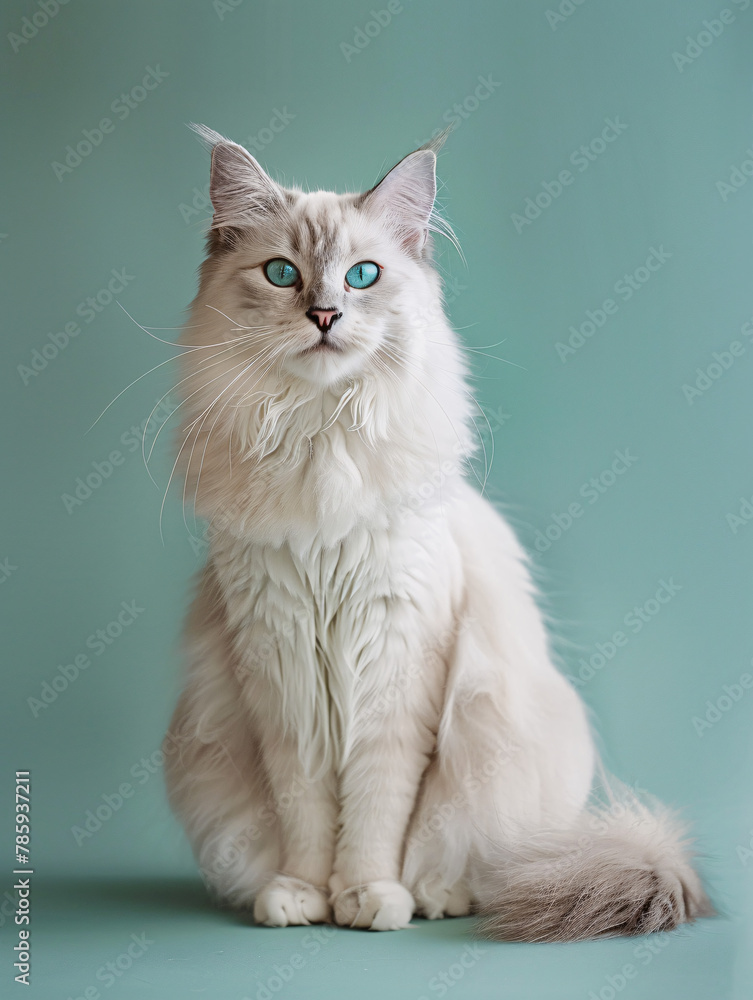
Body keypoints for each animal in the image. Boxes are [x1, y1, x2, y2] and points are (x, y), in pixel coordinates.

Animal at [164, 125, 712, 936]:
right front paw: (304, 895)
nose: (324, 314)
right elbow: (306, 809)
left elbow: (375, 809)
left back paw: (433, 894)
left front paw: (367, 897)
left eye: (362, 276)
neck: (322, 443)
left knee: (477, 868)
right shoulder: (283, 670)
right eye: (281, 274)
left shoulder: (398, 665)